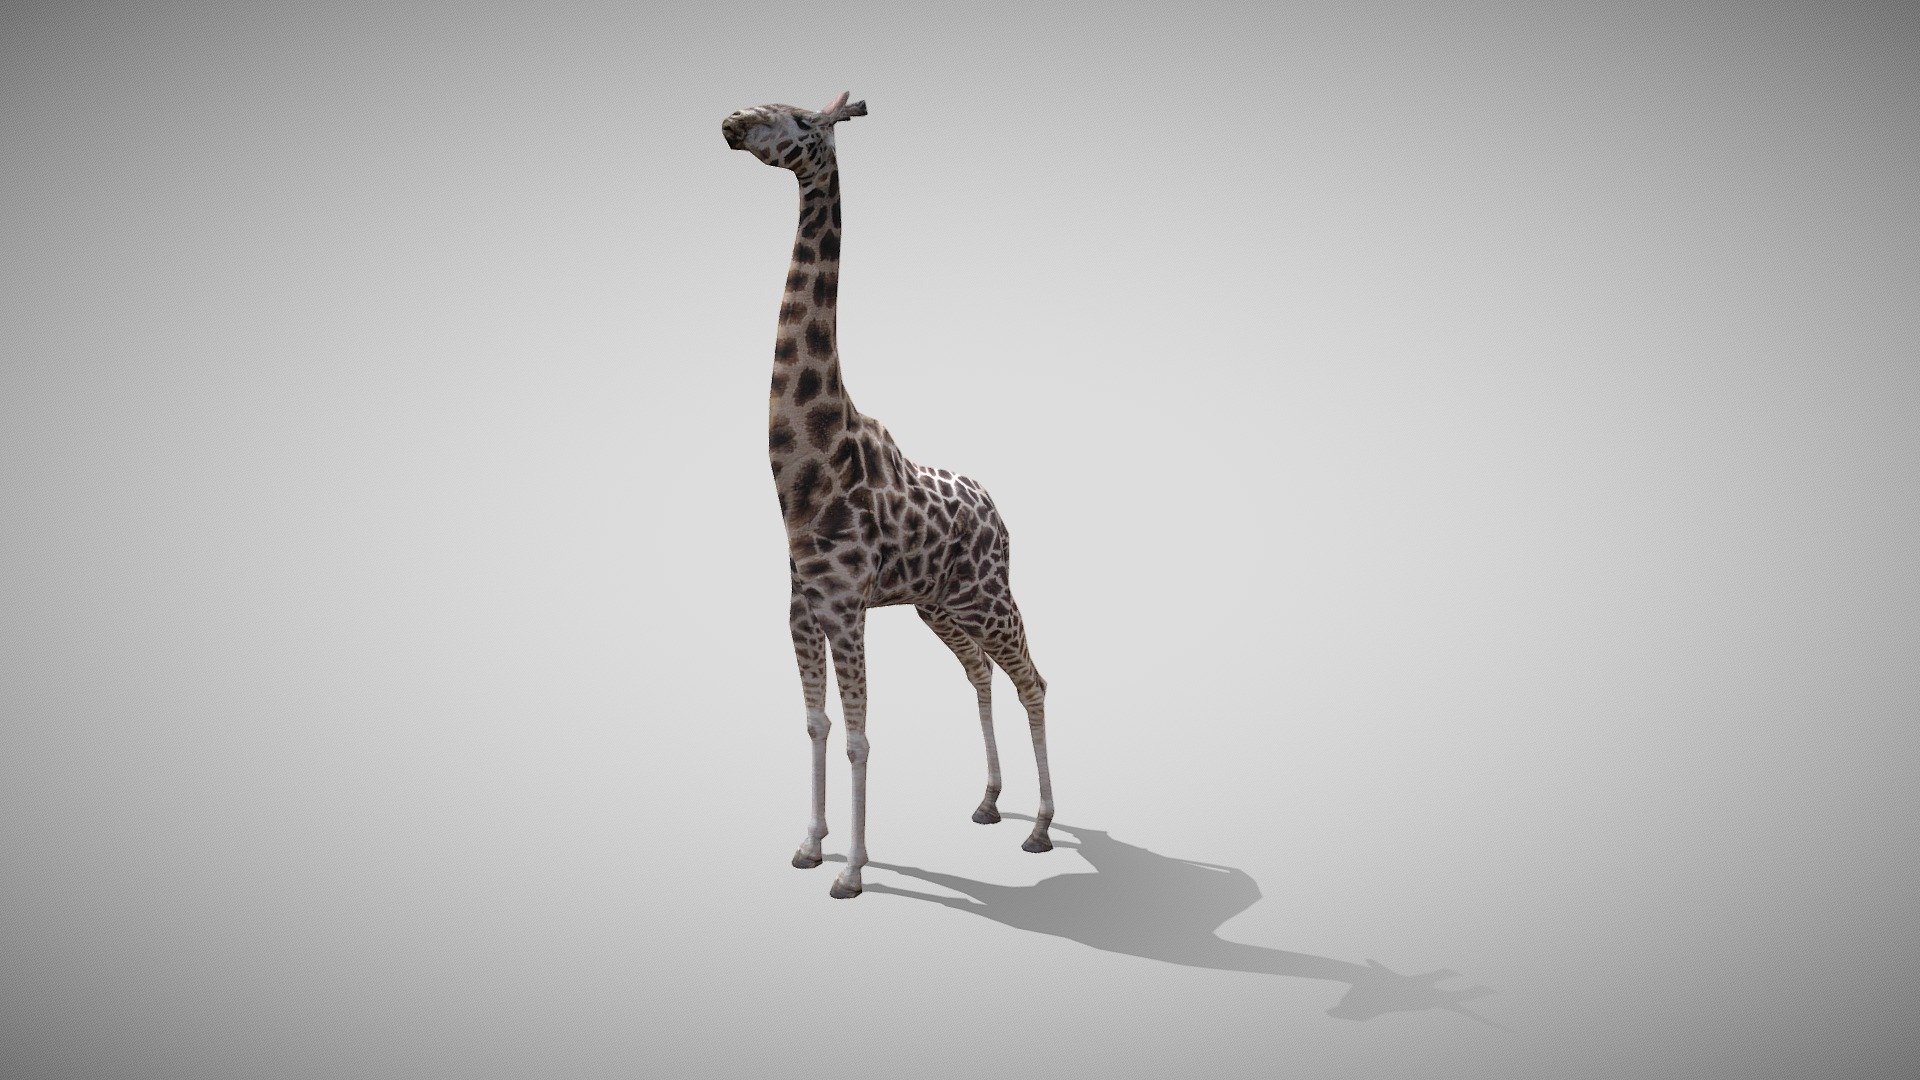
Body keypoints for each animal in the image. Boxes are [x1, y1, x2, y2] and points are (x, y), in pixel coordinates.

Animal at [722, 92, 1054, 899]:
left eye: (798, 121)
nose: (732, 124)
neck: (804, 469)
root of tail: (998, 508)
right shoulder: (802, 609)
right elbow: (818, 724)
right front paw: (810, 844)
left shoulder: (845, 609)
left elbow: (859, 736)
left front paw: (850, 870)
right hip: (943, 605)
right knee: (980, 675)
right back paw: (989, 801)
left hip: (990, 596)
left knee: (1034, 680)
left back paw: (1040, 828)